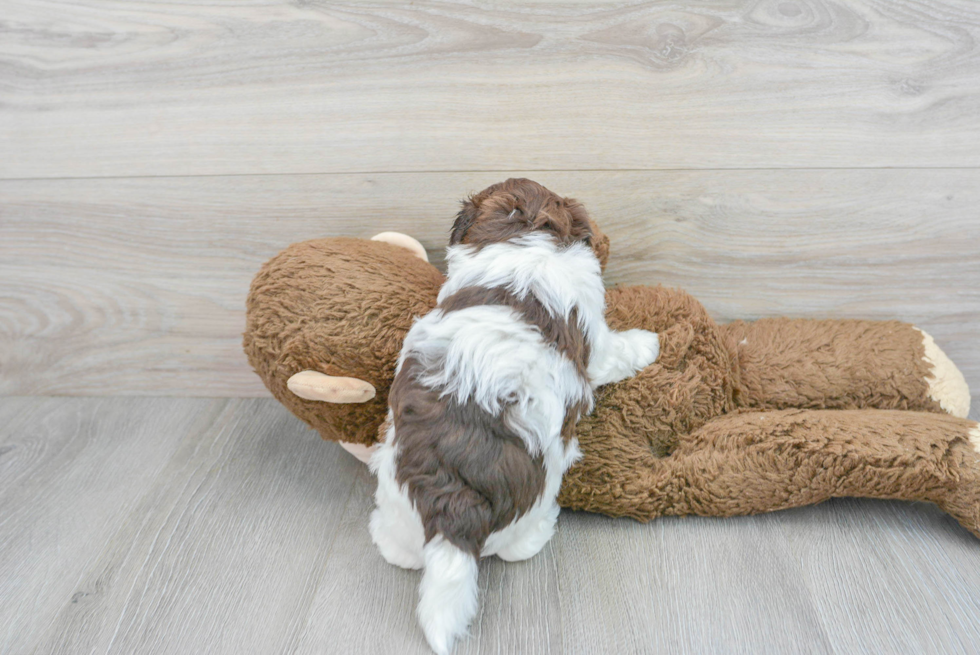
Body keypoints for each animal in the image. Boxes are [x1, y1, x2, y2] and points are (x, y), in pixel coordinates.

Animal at [372, 179, 664, 655]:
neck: (522, 234)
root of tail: (453, 499)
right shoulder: (595, 339)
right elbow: (615, 353)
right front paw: (649, 343)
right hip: (535, 496)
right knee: (518, 546)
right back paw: (545, 529)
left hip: (396, 492)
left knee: (401, 547)